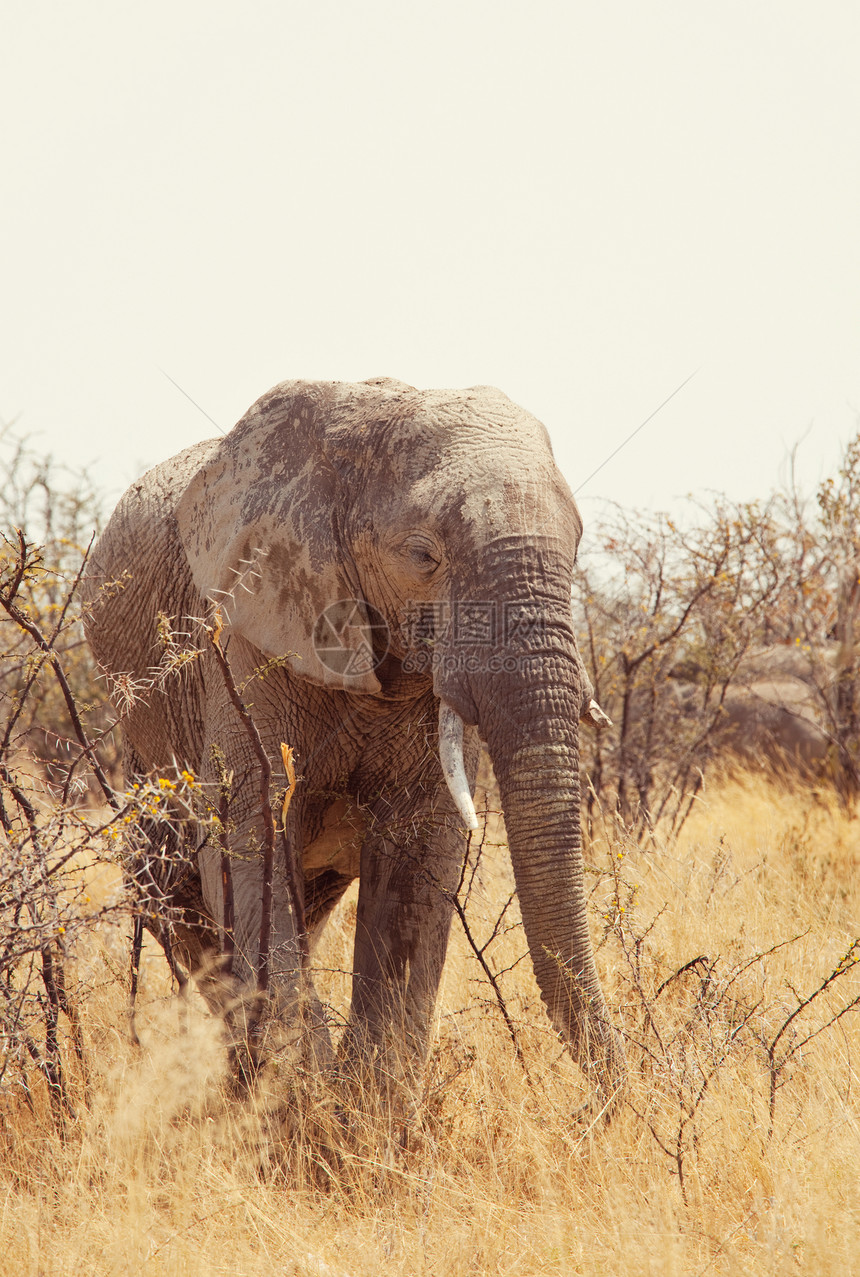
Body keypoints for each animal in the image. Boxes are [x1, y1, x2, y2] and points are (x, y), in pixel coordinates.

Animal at [83, 375, 623, 1108]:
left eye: (576, 545)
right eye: (423, 556)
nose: (624, 1100)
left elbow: (421, 853)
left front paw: (362, 1110)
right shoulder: (246, 638)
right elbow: (250, 831)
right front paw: (305, 1105)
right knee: (182, 908)